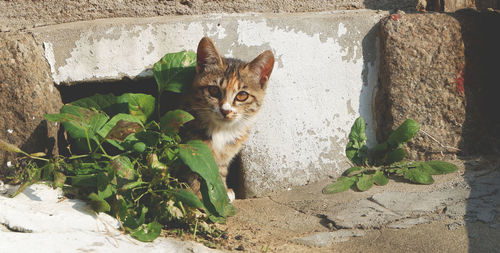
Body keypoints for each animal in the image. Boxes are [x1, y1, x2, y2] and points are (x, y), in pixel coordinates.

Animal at [180, 36, 274, 201]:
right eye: (214, 90)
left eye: (242, 95)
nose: (225, 110)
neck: (221, 130)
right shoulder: (191, 145)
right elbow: (195, 170)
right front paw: (198, 196)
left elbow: (220, 169)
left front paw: (222, 191)